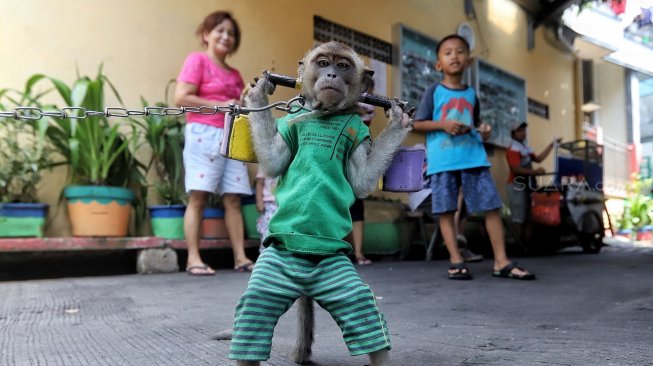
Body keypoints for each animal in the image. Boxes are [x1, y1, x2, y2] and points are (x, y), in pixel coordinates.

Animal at [224, 40, 408, 366]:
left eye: (343, 66)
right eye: (323, 63)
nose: (332, 75)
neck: (324, 114)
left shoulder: (359, 133)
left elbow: (362, 182)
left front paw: (398, 117)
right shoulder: (289, 123)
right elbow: (274, 163)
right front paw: (258, 93)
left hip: (333, 269)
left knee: (361, 308)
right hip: (278, 263)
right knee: (256, 307)